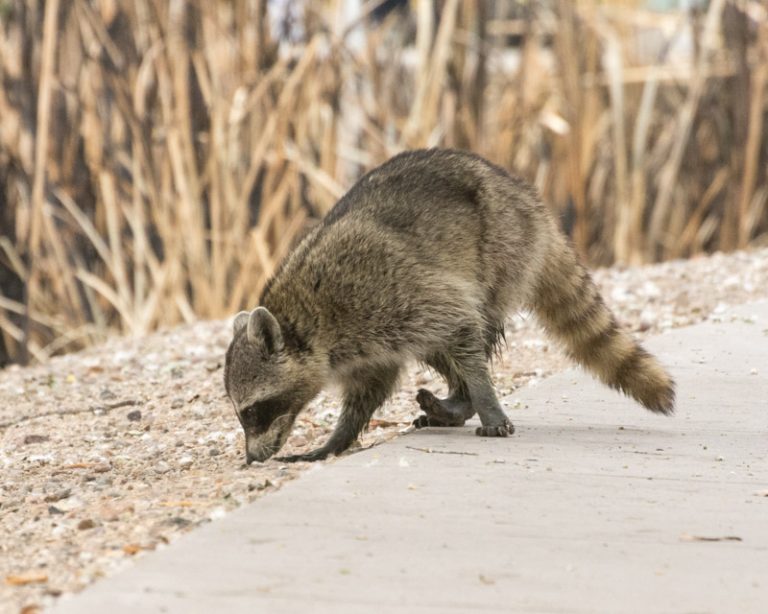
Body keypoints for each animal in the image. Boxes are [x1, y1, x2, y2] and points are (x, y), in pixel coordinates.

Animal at [224, 149, 675, 464]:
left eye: (253, 411)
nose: (252, 458)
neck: (307, 320)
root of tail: (525, 196)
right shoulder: (366, 347)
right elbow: (369, 390)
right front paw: (339, 437)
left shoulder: (383, 291)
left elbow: (457, 322)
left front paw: (485, 400)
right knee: (440, 346)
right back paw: (457, 400)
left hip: (503, 247)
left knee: (472, 324)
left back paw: (465, 397)